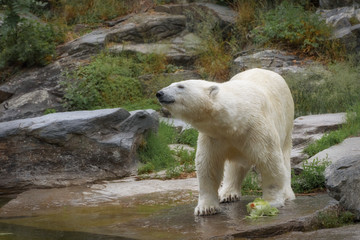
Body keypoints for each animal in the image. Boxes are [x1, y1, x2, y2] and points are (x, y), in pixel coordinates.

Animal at [155, 67, 296, 216]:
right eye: (171, 83)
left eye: (181, 86)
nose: (159, 93)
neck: (236, 121)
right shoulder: (214, 136)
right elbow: (208, 166)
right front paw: (206, 208)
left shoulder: (257, 128)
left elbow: (269, 161)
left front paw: (270, 202)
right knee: (235, 165)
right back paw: (228, 193)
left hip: (287, 119)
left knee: (284, 157)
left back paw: (287, 194)